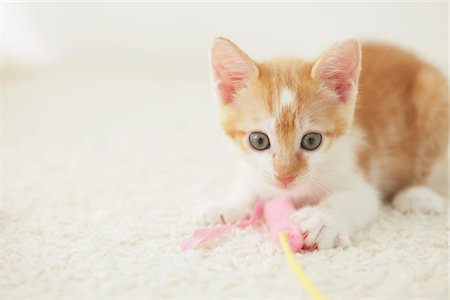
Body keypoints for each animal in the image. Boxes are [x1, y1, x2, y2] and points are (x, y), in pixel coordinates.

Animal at [195, 37, 448, 248]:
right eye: (258, 140)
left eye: (311, 140)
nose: (285, 177)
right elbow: (249, 183)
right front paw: (229, 204)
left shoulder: (355, 167)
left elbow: (359, 199)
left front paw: (323, 220)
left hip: (435, 98)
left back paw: (415, 194)